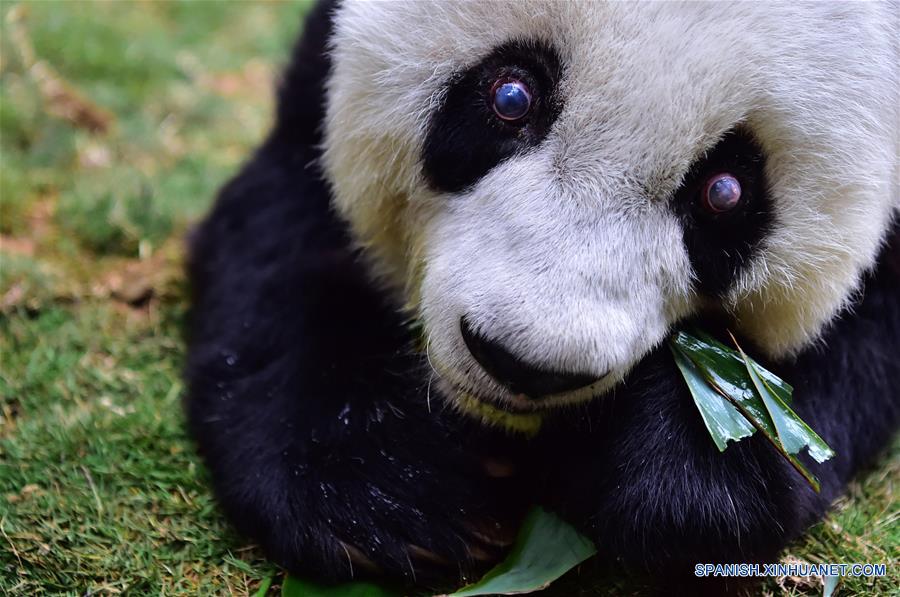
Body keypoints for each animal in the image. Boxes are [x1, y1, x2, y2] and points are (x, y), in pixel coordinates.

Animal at [185, 1, 900, 592]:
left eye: (724, 192)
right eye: (511, 95)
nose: (521, 363)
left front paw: (683, 476)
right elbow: (282, 238)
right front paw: (386, 490)